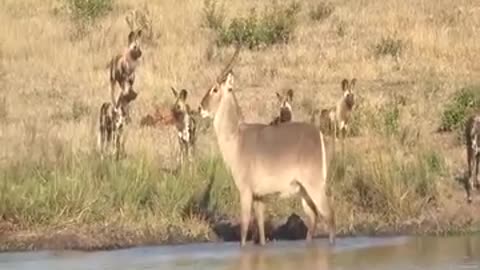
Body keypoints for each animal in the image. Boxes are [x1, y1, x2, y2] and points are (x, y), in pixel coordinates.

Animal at [197, 46, 336, 247]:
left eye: (215, 89)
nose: (199, 108)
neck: (237, 138)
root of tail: (317, 134)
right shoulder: (259, 196)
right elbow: (261, 230)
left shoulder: (245, 191)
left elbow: (245, 227)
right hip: (303, 190)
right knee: (314, 217)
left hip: (315, 185)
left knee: (329, 216)